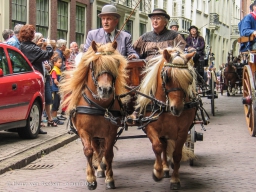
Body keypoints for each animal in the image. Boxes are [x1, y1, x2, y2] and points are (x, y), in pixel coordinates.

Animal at [59, 41, 129, 190]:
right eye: (94, 63)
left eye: (116, 63)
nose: (105, 90)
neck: (100, 106)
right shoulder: (84, 131)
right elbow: (88, 151)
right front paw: (91, 179)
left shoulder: (111, 132)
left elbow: (108, 153)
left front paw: (110, 178)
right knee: (95, 149)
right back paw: (99, 168)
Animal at [136, 47, 198, 190]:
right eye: (167, 77)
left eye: (189, 79)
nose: (177, 108)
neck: (165, 106)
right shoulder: (150, 126)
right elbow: (157, 146)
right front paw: (157, 172)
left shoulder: (182, 131)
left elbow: (176, 154)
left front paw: (175, 179)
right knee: (162, 145)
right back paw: (163, 168)